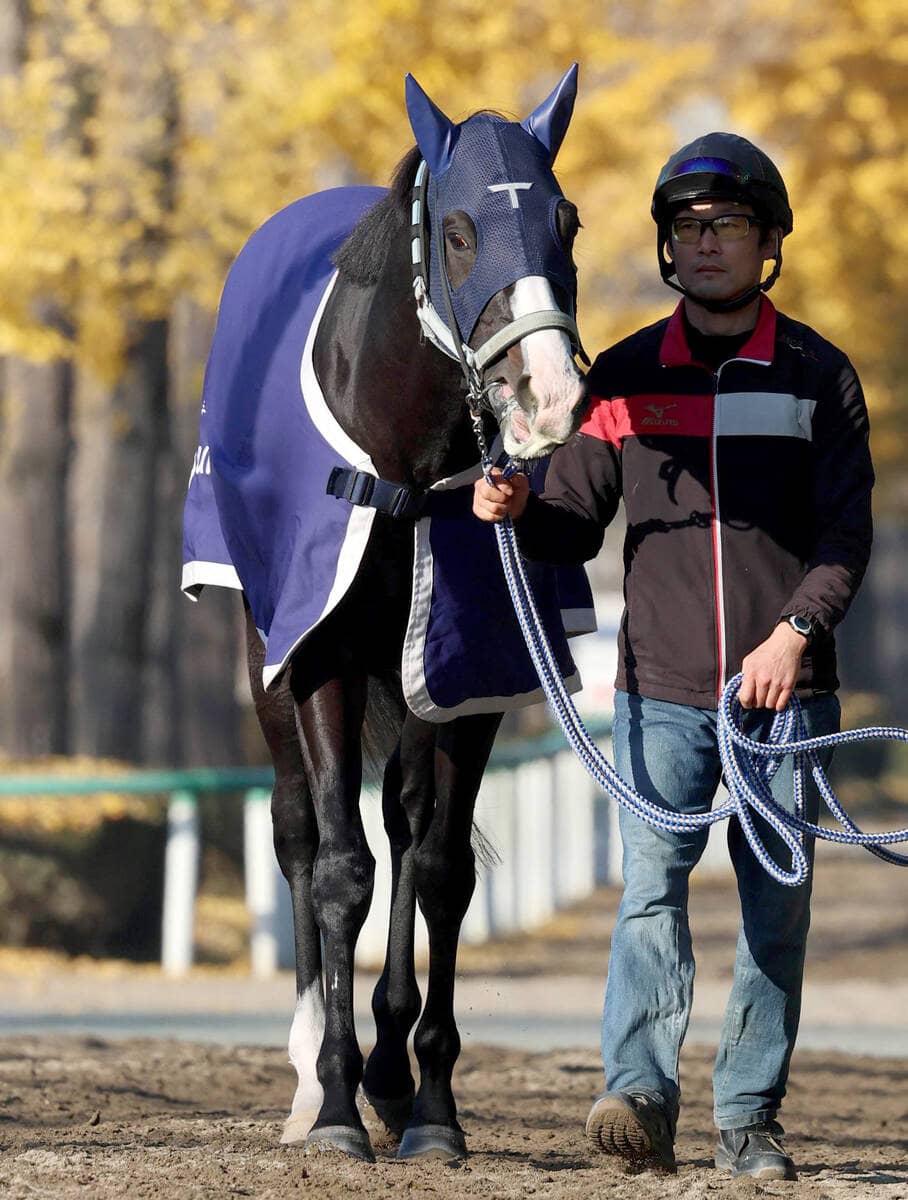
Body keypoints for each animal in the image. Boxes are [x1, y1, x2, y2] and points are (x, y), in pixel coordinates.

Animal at [182, 65, 589, 1162]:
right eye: (457, 231)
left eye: (567, 223)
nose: (547, 396)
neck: (402, 464)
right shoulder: (317, 651)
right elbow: (338, 868)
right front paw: (332, 1103)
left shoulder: (470, 666)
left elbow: (439, 868)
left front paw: (429, 1100)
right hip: (263, 649)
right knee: (294, 828)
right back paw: (308, 1071)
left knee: (406, 823)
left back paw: (394, 1075)